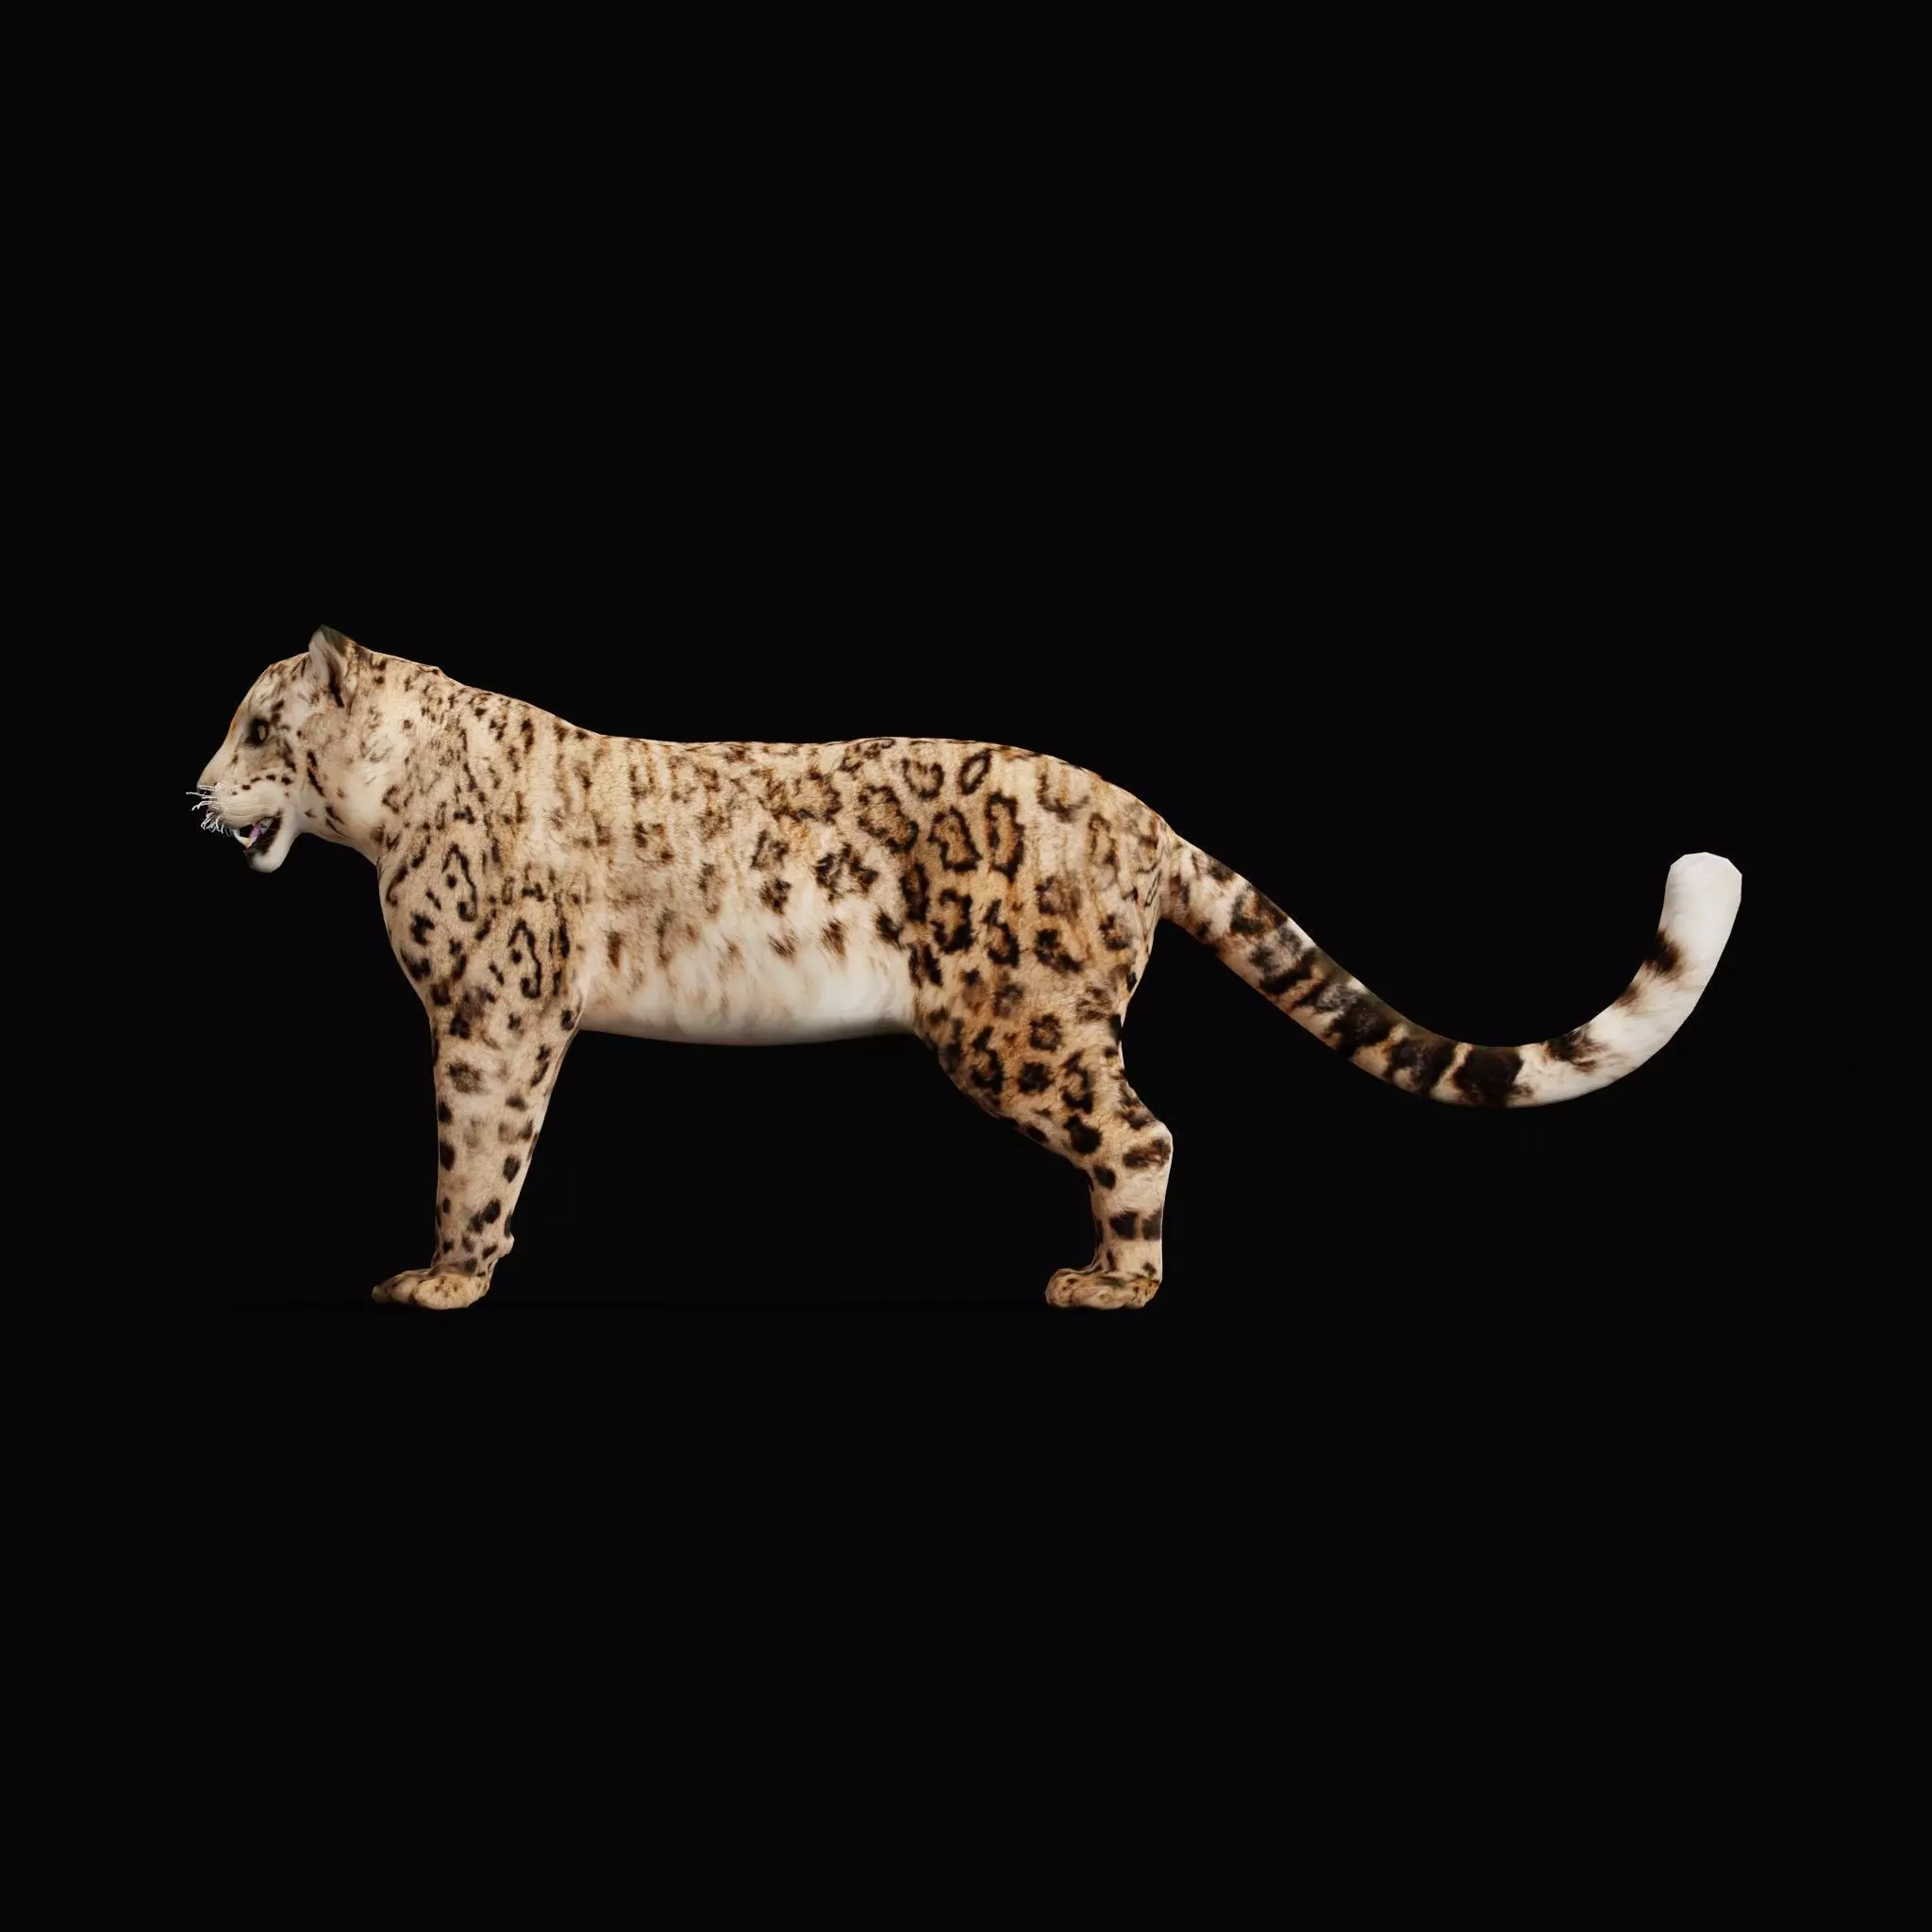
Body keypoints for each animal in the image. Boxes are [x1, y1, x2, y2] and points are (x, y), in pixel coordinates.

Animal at [193, 627, 1743, 1311]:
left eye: (260, 725)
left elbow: (475, 1147)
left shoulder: (486, 1014)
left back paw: (1110, 1281)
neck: (384, 824)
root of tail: (1144, 819)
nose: (197, 793)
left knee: (1141, 1130)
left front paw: (445, 1274)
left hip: (1021, 1029)